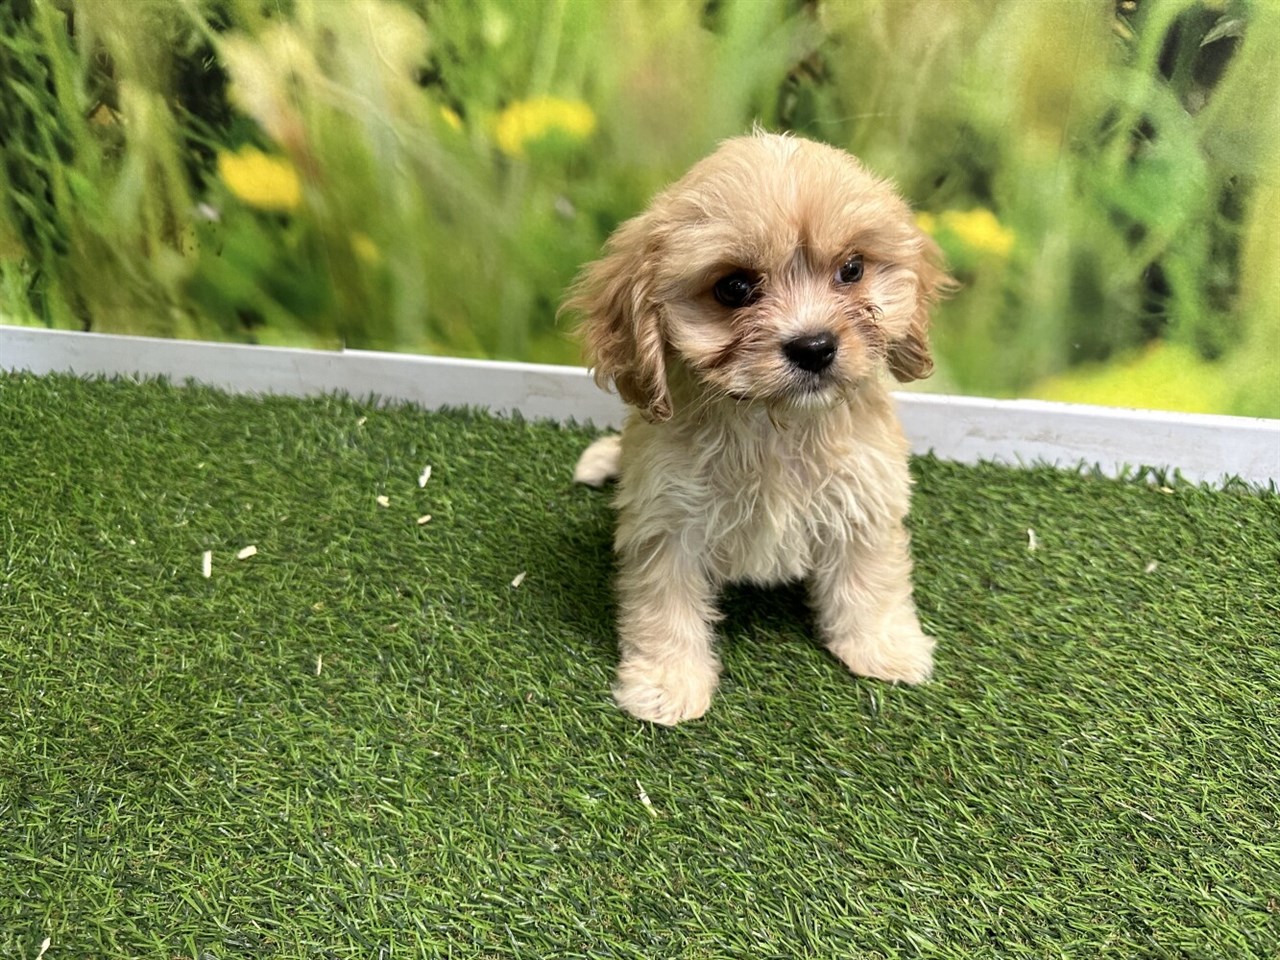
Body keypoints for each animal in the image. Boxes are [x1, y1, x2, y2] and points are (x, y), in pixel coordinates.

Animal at [563, 131, 952, 727]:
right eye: (734, 288)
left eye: (852, 269)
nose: (814, 346)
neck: (775, 421)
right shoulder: (667, 520)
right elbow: (664, 605)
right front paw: (667, 683)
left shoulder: (864, 497)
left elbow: (870, 579)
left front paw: (882, 646)